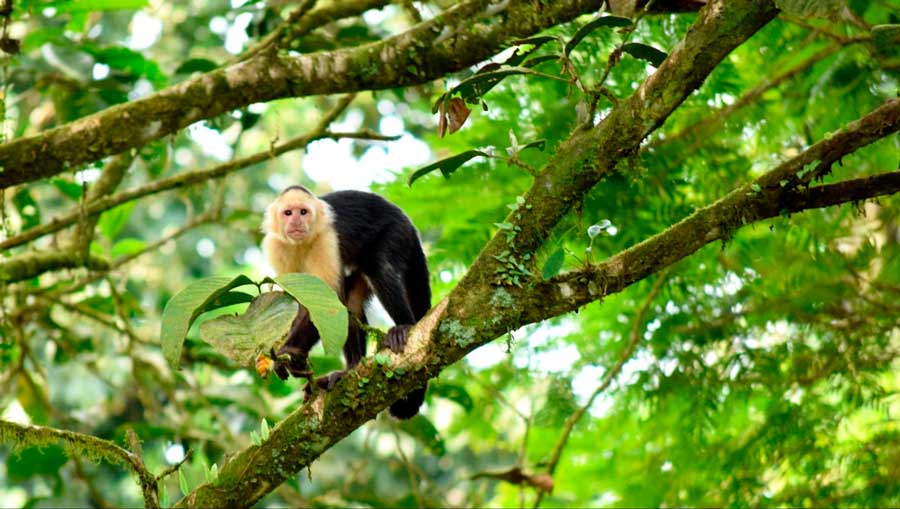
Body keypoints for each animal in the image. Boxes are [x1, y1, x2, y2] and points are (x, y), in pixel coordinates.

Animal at [261, 185, 431, 419]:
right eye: (288, 213)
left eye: (303, 212)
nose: (296, 221)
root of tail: (409, 224)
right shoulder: (276, 246)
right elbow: (303, 301)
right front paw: (289, 355)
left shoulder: (326, 240)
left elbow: (328, 305)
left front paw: (290, 352)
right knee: (352, 303)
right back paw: (349, 370)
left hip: (397, 233)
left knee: (380, 269)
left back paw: (405, 326)